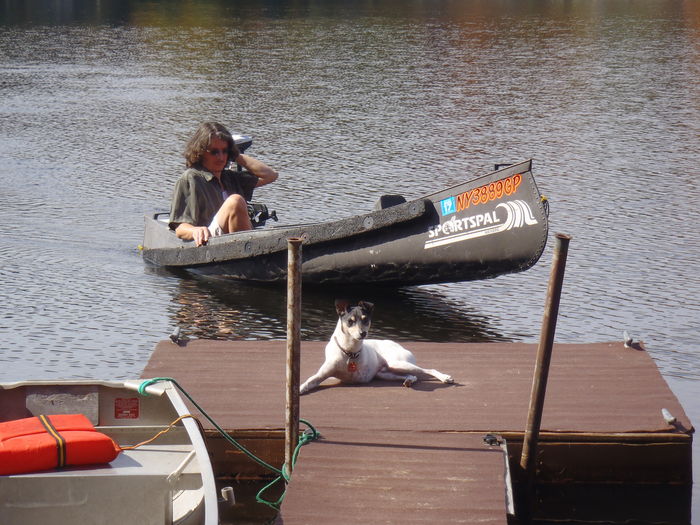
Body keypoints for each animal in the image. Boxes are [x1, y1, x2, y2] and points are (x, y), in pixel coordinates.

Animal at [300, 298, 454, 392]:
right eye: (350, 321)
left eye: (365, 320)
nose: (363, 333)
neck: (349, 352)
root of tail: (398, 344)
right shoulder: (322, 374)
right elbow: (309, 381)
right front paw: (300, 389)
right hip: (386, 373)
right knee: (412, 376)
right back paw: (409, 381)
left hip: (397, 363)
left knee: (428, 370)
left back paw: (445, 377)